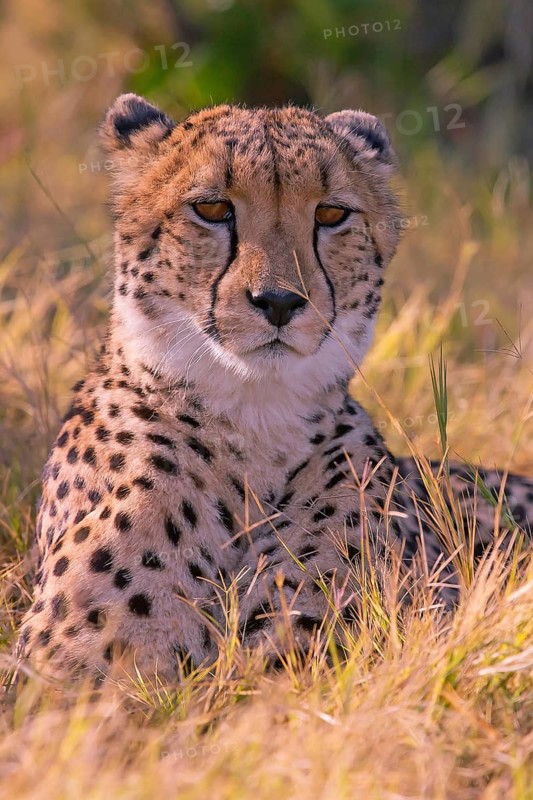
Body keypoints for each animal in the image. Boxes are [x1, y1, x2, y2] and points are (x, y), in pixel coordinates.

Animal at [16, 94, 533, 682]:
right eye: (212, 209)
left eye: (331, 215)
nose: (280, 301)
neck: (255, 420)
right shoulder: (61, 674)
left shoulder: (307, 659)